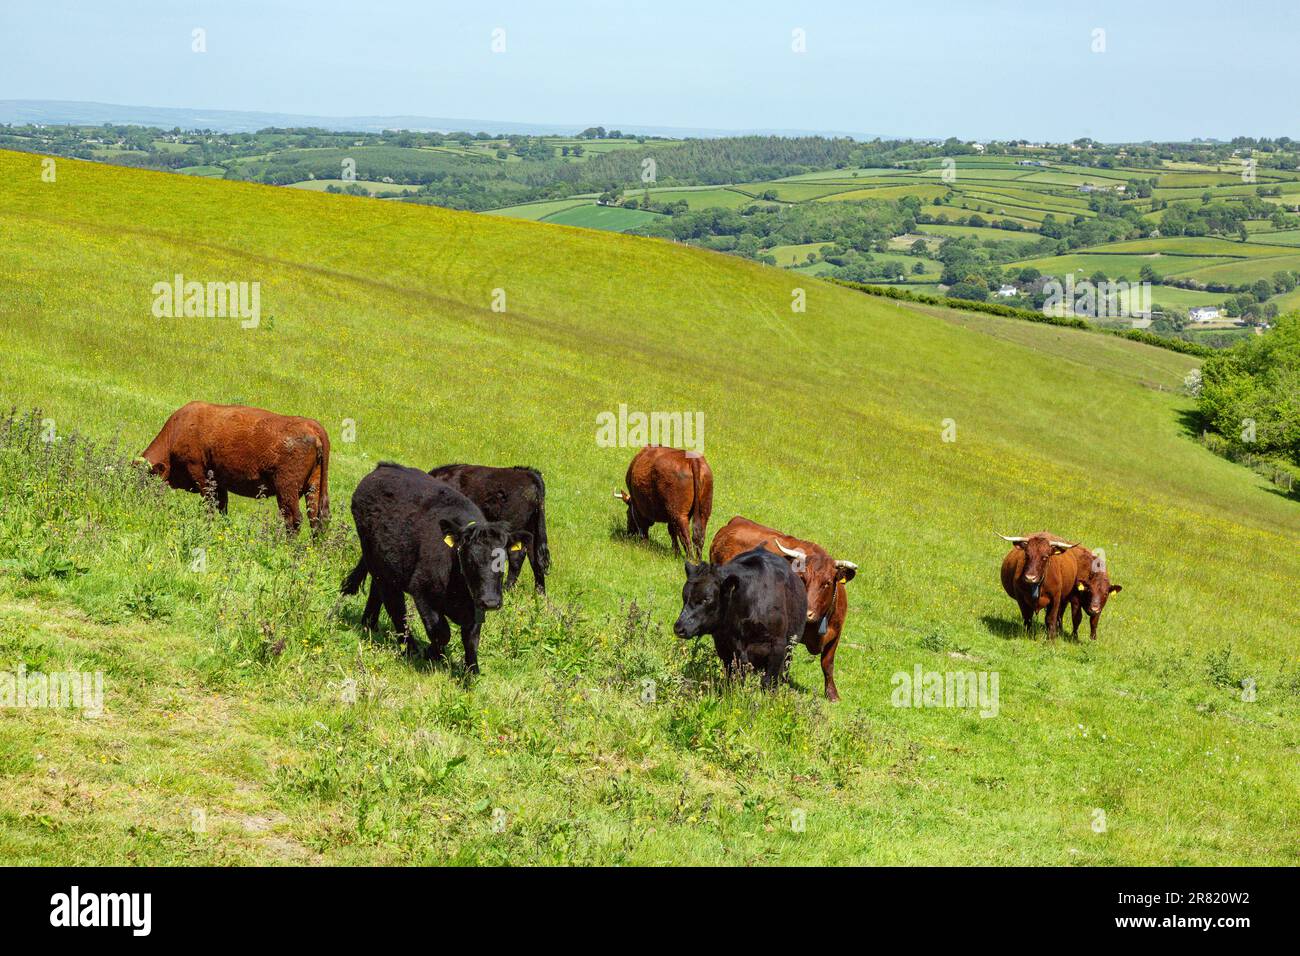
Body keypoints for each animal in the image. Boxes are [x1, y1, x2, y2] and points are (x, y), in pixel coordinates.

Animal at [139, 401, 329, 533]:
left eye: (145, 480)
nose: (138, 502)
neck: (177, 432)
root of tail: (312, 426)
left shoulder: (201, 475)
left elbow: (210, 506)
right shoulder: (220, 484)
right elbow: (222, 507)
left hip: (287, 489)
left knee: (293, 519)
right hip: (314, 487)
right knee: (317, 519)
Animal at [341, 462, 530, 671]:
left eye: (502, 561)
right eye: (469, 560)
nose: (490, 602)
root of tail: (385, 466)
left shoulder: (475, 602)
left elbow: (471, 638)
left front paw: (472, 669)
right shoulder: (423, 591)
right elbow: (441, 632)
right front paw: (432, 654)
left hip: (385, 563)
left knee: (378, 592)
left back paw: (370, 625)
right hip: (374, 557)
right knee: (395, 606)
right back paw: (409, 648)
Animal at [427, 463, 551, 594]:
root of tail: (529, 473)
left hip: (515, 529)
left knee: (517, 555)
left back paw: (507, 589)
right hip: (532, 529)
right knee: (535, 557)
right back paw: (539, 593)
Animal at [673, 547, 808, 690]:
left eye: (706, 599)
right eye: (684, 596)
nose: (679, 628)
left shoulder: (778, 644)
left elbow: (769, 681)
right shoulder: (724, 645)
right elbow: (734, 677)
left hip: (790, 645)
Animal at [709, 516, 858, 701]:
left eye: (827, 583)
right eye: (803, 579)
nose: (807, 613)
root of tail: (737, 521)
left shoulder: (835, 635)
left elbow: (827, 664)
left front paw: (832, 694)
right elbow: (786, 662)